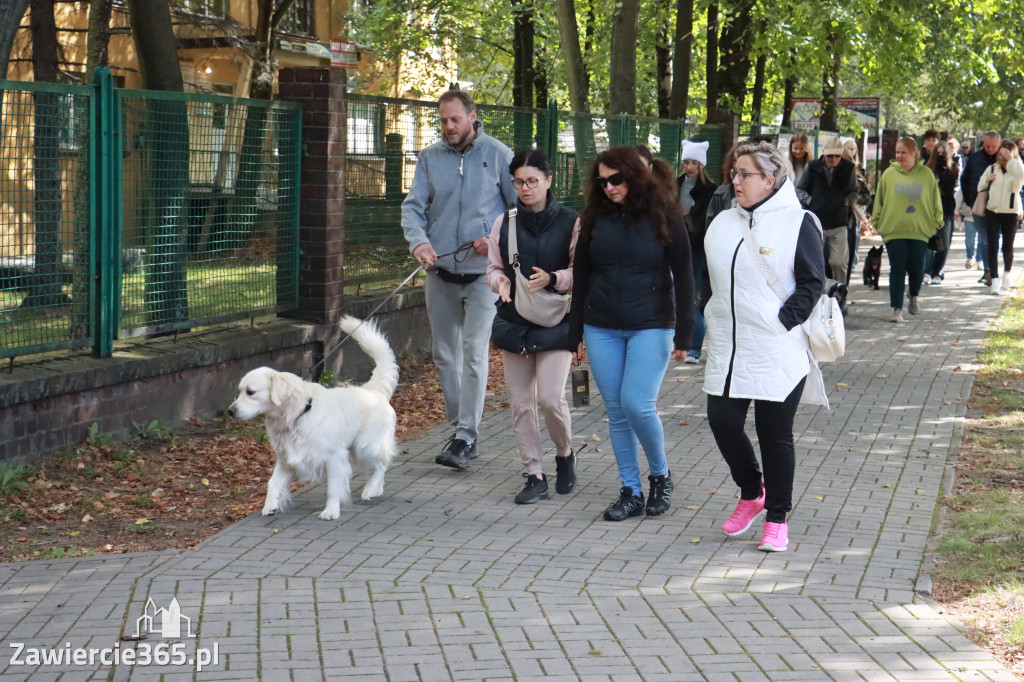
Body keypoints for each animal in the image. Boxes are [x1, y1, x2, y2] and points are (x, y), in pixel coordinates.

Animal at [229, 315, 399, 518]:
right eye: (240, 391)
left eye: (250, 392)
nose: (230, 411)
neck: (298, 415)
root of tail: (374, 390)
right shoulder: (286, 459)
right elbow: (273, 482)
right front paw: (270, 505)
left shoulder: (333, 457)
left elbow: (333, 488)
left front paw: (331, 511)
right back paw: (376, 490)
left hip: (365, 446)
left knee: (382, 464)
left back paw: (370, 489)